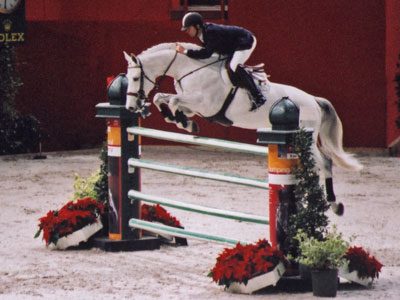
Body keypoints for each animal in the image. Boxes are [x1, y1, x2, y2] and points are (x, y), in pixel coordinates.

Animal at [122, 42, 362, 216]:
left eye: (135, 78)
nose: (131, 107)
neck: (191, 70)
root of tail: (313, 100)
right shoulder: (193, 104)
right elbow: (162, 98)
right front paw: (180, 120)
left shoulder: (204, 104)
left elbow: (171, 101)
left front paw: (183, 121)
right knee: (317, 164)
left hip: (304, 138)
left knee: (324, 162)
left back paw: (333, 203)